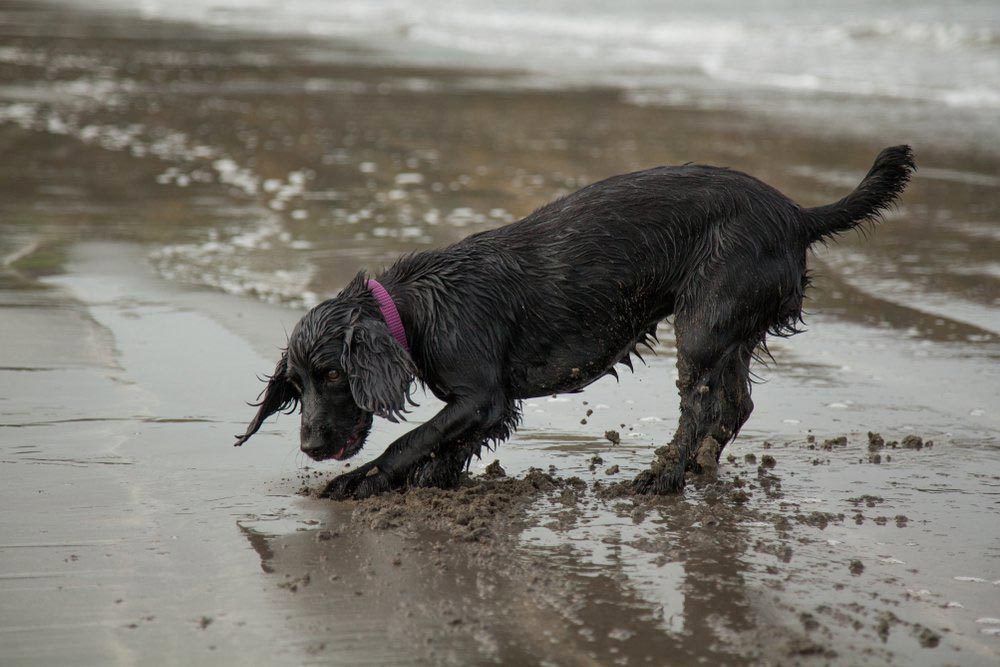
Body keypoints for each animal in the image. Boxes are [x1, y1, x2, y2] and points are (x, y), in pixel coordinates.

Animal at [234, 147, 916, 500]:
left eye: (332, 374)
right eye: (294, 385)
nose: (310, 446)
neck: (419, 308)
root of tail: (797, 214)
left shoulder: (480, 395)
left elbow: (412, 440)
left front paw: (360, 481)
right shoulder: (490, 407)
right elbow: (445, 447)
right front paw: (423, 483)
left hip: (702, 325)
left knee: (700, 407)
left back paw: (662, 477)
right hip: (728, 330)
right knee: (734, 406)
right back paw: (697, 468)